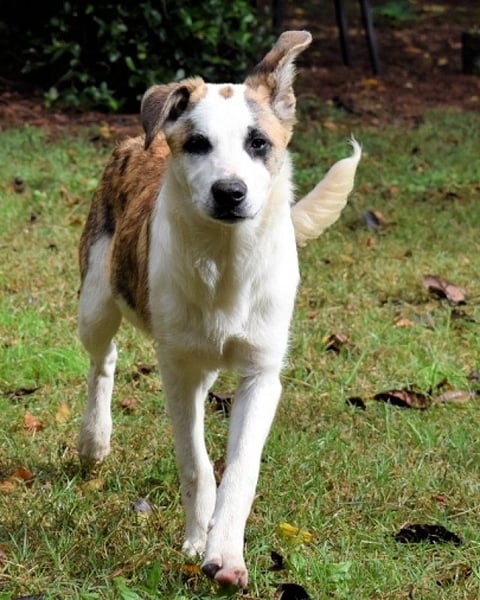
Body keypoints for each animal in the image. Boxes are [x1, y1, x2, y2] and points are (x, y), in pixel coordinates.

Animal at [77, 30, 361, 588]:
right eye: (197, 144)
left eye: (259, 143)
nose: (230, 192)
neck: (228, 263)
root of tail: (132, 142)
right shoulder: (177, 370)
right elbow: (195, 462)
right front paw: (195, 540)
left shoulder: (261, 374)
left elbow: (242, 470)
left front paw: (225, 553)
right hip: (95, 298)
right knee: (103, 360)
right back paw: (94, 440)